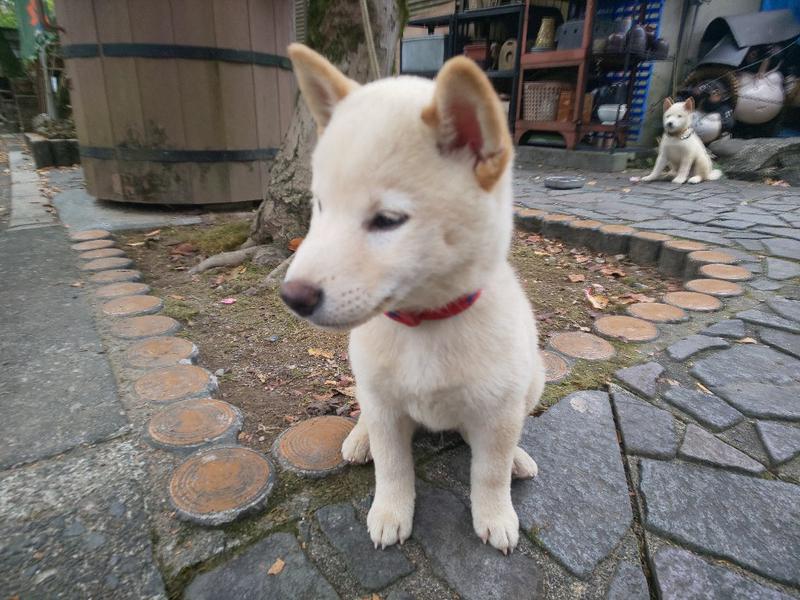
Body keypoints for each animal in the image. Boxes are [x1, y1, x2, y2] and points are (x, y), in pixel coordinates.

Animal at [278, 44, 548, 556]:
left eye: (387, 220)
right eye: (320, 206)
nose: (292, 296)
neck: (425, 324)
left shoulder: (499, 411)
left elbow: (489, 471)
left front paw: (495, 514)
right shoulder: (384, 405)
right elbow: (392, 466)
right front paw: (390, 511)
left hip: (533, 382)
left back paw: (520, 457)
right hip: (366, 385)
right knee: (367, 417)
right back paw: (359, 439)